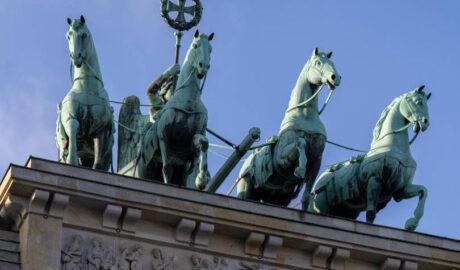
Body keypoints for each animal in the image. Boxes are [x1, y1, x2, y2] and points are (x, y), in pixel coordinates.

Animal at [55, 15, 114, 170]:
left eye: (84, 35)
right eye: (68, 36)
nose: (76, 57)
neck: (86, 87)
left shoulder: (100, 130)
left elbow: (97, 164)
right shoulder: (71, 119)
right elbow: (74, 128)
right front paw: (72, 160)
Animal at [239, 48, 340, 208]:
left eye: (332, 62)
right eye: (318, 62)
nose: (335, 77)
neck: (306, 117)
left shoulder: (317, 160)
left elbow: (306, 196)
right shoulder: (282, 160)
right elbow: (301, 142)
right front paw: (300, 169)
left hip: (278, 198)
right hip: (246, 188)